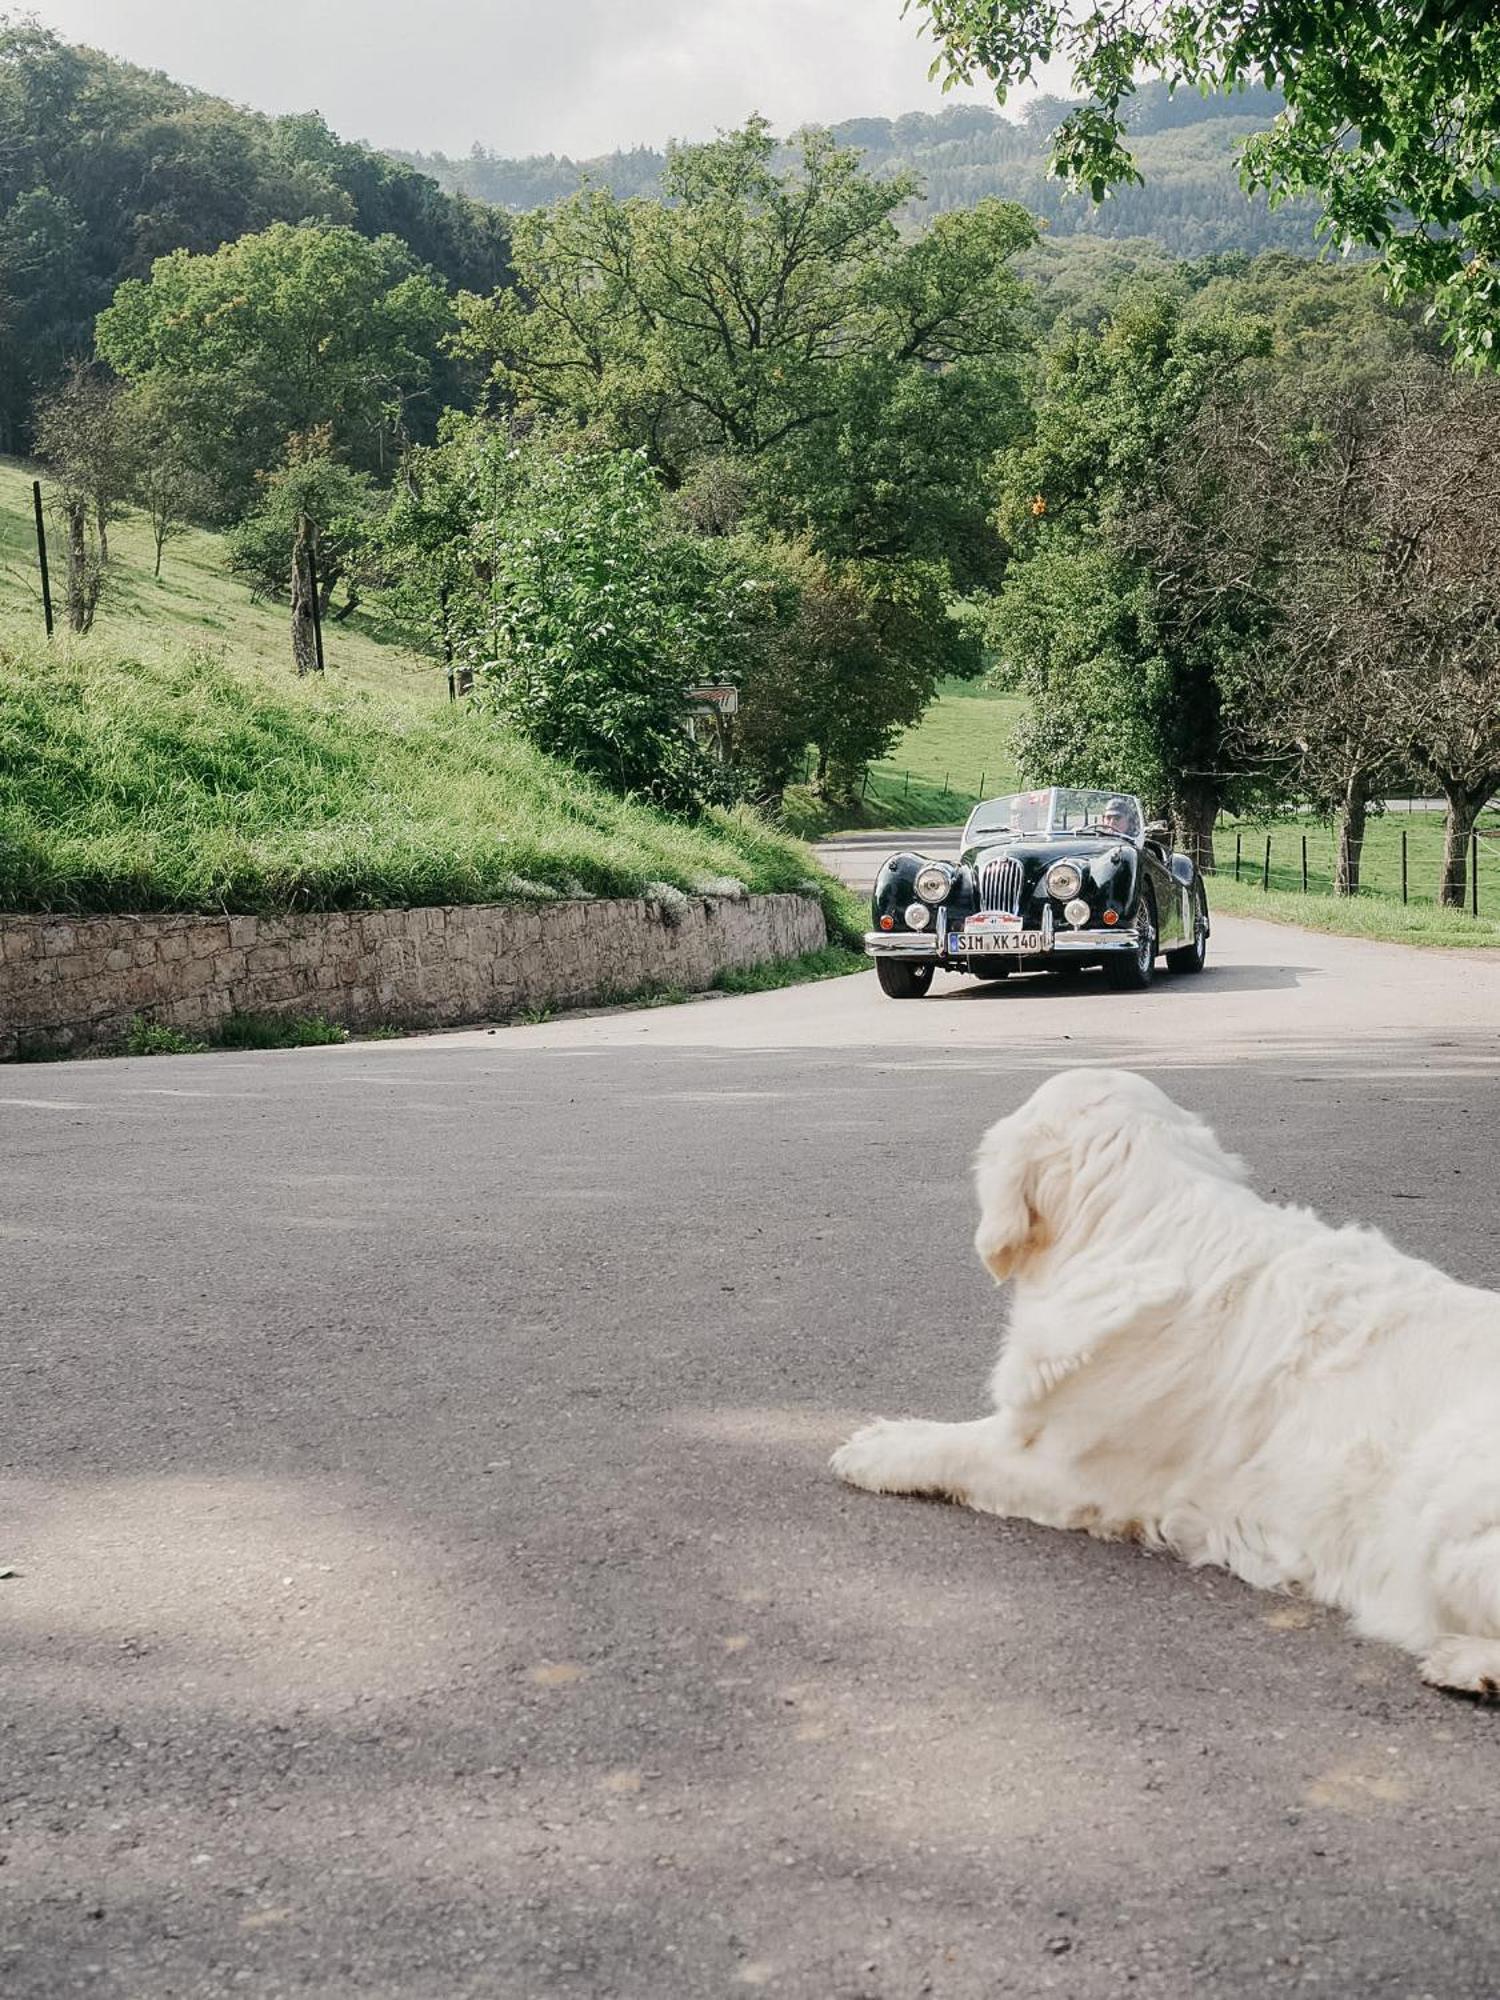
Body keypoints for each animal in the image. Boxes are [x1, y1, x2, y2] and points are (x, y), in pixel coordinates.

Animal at [840, 1072, 1500, 1696]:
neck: (1145, 1225)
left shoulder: (1066, 1472)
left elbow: (960, 1449)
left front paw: (878, 1450)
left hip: (1443, 1517)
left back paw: (1467, 1664)